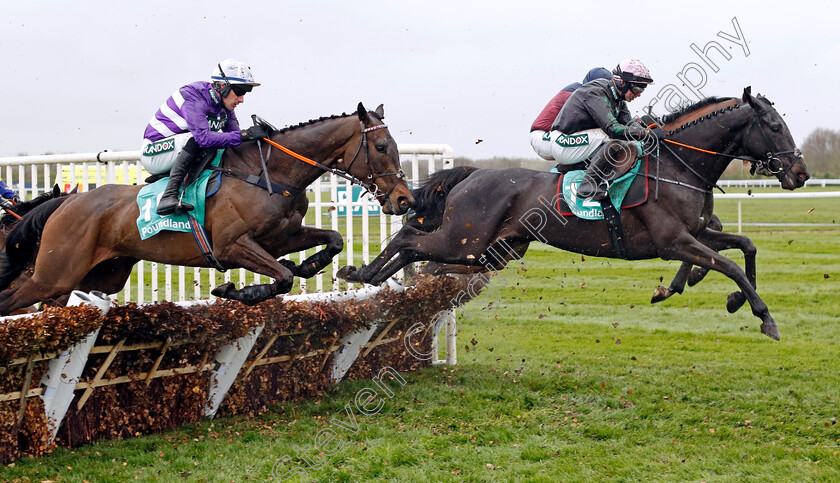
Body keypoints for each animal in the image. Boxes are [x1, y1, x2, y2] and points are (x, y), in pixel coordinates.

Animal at [0, 102, 414, 316]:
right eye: (381, 148)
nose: (403, 199)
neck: (269, 174)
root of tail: (68, 200)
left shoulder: (282, 237)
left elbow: (333, 240)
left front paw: (312, 265)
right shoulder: (232, 246)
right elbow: (281, 277)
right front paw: (240, 291)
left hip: (98, 276)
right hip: (54, 275)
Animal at [338, 90, 812, 340]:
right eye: (774, 126)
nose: (800, 173)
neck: (676, 167)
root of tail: (473, 174)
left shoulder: (695, 234)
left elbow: (744, 247)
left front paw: (725, 297)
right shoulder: (673, 241)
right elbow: (730, 265)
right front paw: (764, 316)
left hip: (489, 251)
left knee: (418, 252)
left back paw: (374, 279)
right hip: (463, 241)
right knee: (408, 239)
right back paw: (360, 273)